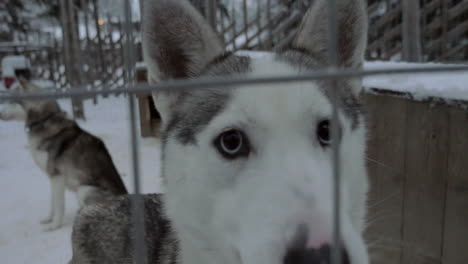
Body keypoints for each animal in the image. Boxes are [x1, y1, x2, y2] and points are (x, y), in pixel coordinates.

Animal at [11, 79, 128, 231]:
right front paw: (49, 219)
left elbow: (59, 206)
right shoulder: (52, 178)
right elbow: (53, 204)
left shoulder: (57, 177)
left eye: (11, 101)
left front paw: (54, 225)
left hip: (84, 190)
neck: (45, 120)